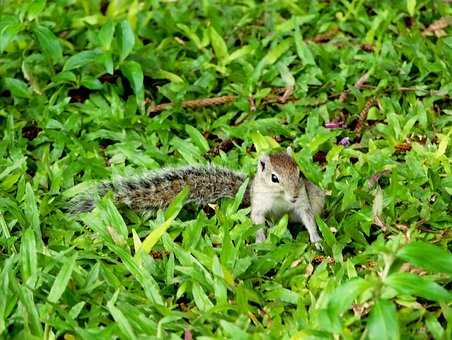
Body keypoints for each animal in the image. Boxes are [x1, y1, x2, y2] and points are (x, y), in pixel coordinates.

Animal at [69, 148, 324, 247]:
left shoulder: (303, 202)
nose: (292, 196)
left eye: (300, 173)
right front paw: (261, 241)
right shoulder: (260, 205)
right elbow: (258, 221)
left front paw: (316, 239)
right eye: (274, 178)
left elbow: (308, 218)